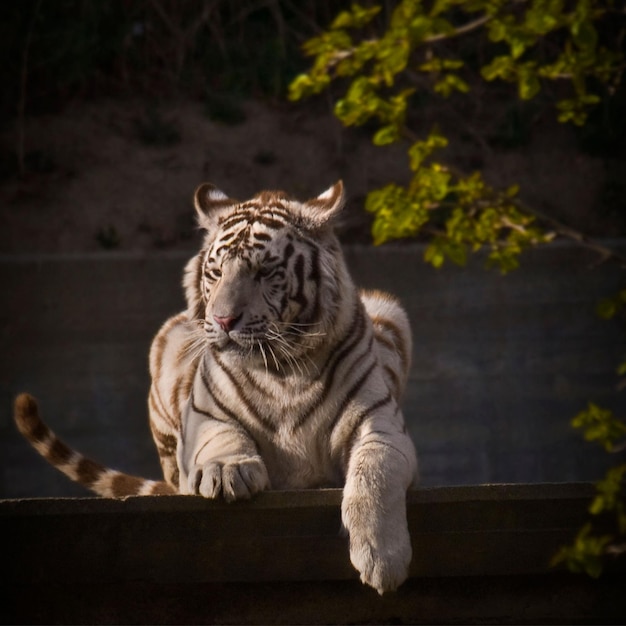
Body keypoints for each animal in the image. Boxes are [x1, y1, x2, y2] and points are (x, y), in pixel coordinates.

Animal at [12, 179, 416, 588]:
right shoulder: (204, 417)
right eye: (216, 272)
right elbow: (219, 437)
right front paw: (227, 471)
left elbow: (374, 472)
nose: (223, 320)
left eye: (265, 272)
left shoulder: (379, 426)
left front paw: (383, 559)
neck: (284, 371)